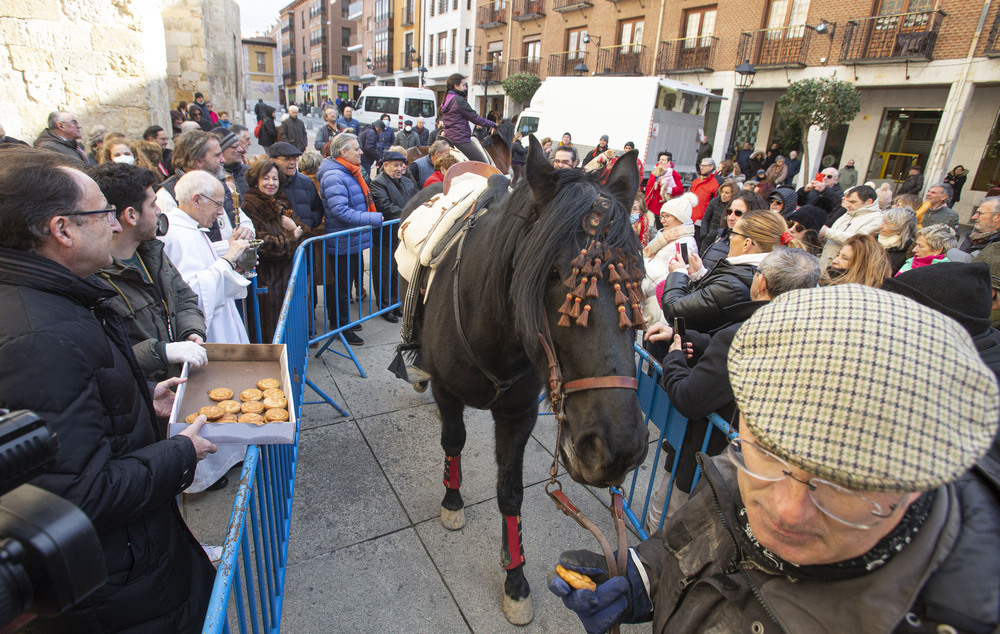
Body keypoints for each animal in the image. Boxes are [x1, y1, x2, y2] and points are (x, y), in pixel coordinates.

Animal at [404, 137, 648, 624]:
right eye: (552, 273)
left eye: (635, 276)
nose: (618, 448)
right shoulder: (449, 393)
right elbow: (453, 440)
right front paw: (452, 501)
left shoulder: (517, 416)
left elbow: (511, 493)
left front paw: (515, 580)